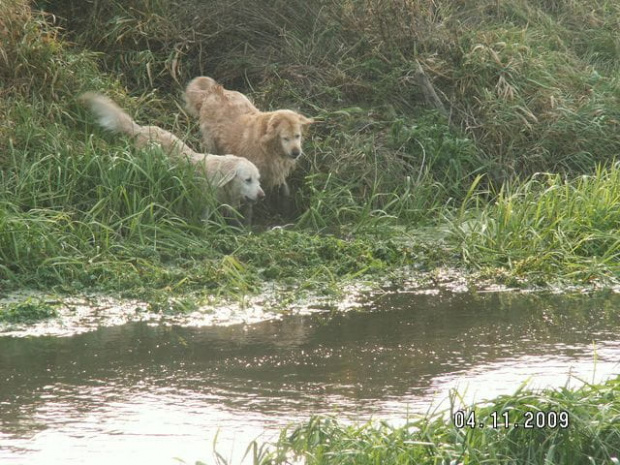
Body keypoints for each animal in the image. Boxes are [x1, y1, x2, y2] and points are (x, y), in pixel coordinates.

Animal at [80, 94, 264, 218]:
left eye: (258, 179)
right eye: (248, 179)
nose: (263, 196)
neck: (221, 181)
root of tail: (140, 128)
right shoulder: (204, 205)